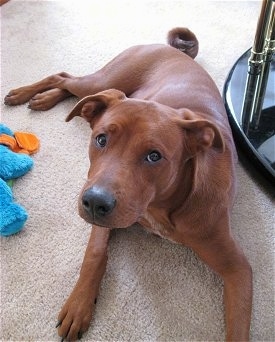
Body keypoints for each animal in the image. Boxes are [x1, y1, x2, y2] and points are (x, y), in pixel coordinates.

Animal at [4, 28, 254, 340]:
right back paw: (27, 94)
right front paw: (79, 305)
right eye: (101, 139)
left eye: (154, 156)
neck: (164, 207)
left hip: (106, 87)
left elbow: (238, 328)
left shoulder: (238, 270)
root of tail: (174, 50)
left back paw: (44, 98)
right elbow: (95, 253)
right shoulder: (103, 217)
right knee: (66, 78)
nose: (95, 203)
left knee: (77, 88)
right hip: (106, 80)